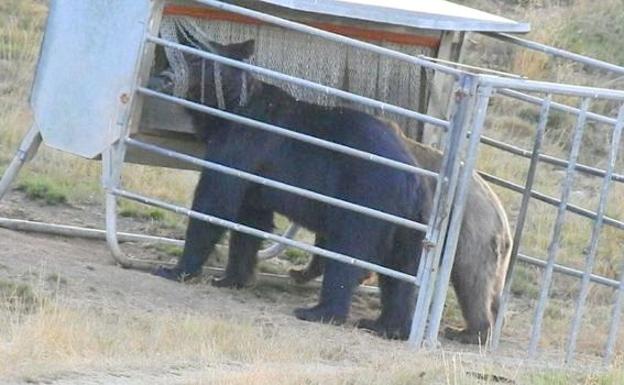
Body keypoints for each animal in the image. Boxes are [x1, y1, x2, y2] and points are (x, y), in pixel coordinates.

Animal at [150, 34, 428, 338]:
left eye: (195, 58)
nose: (164, 77)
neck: (229, 110)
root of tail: (412, 179)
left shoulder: (242, 143)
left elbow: (215, 202)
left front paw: (175, 269)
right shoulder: (255, 180)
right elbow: (250, 220)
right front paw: (231, 278)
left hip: (365, 197)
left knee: (347, 252)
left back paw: (319, 312)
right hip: (410, 224)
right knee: (400, 271)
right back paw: (386, 325)